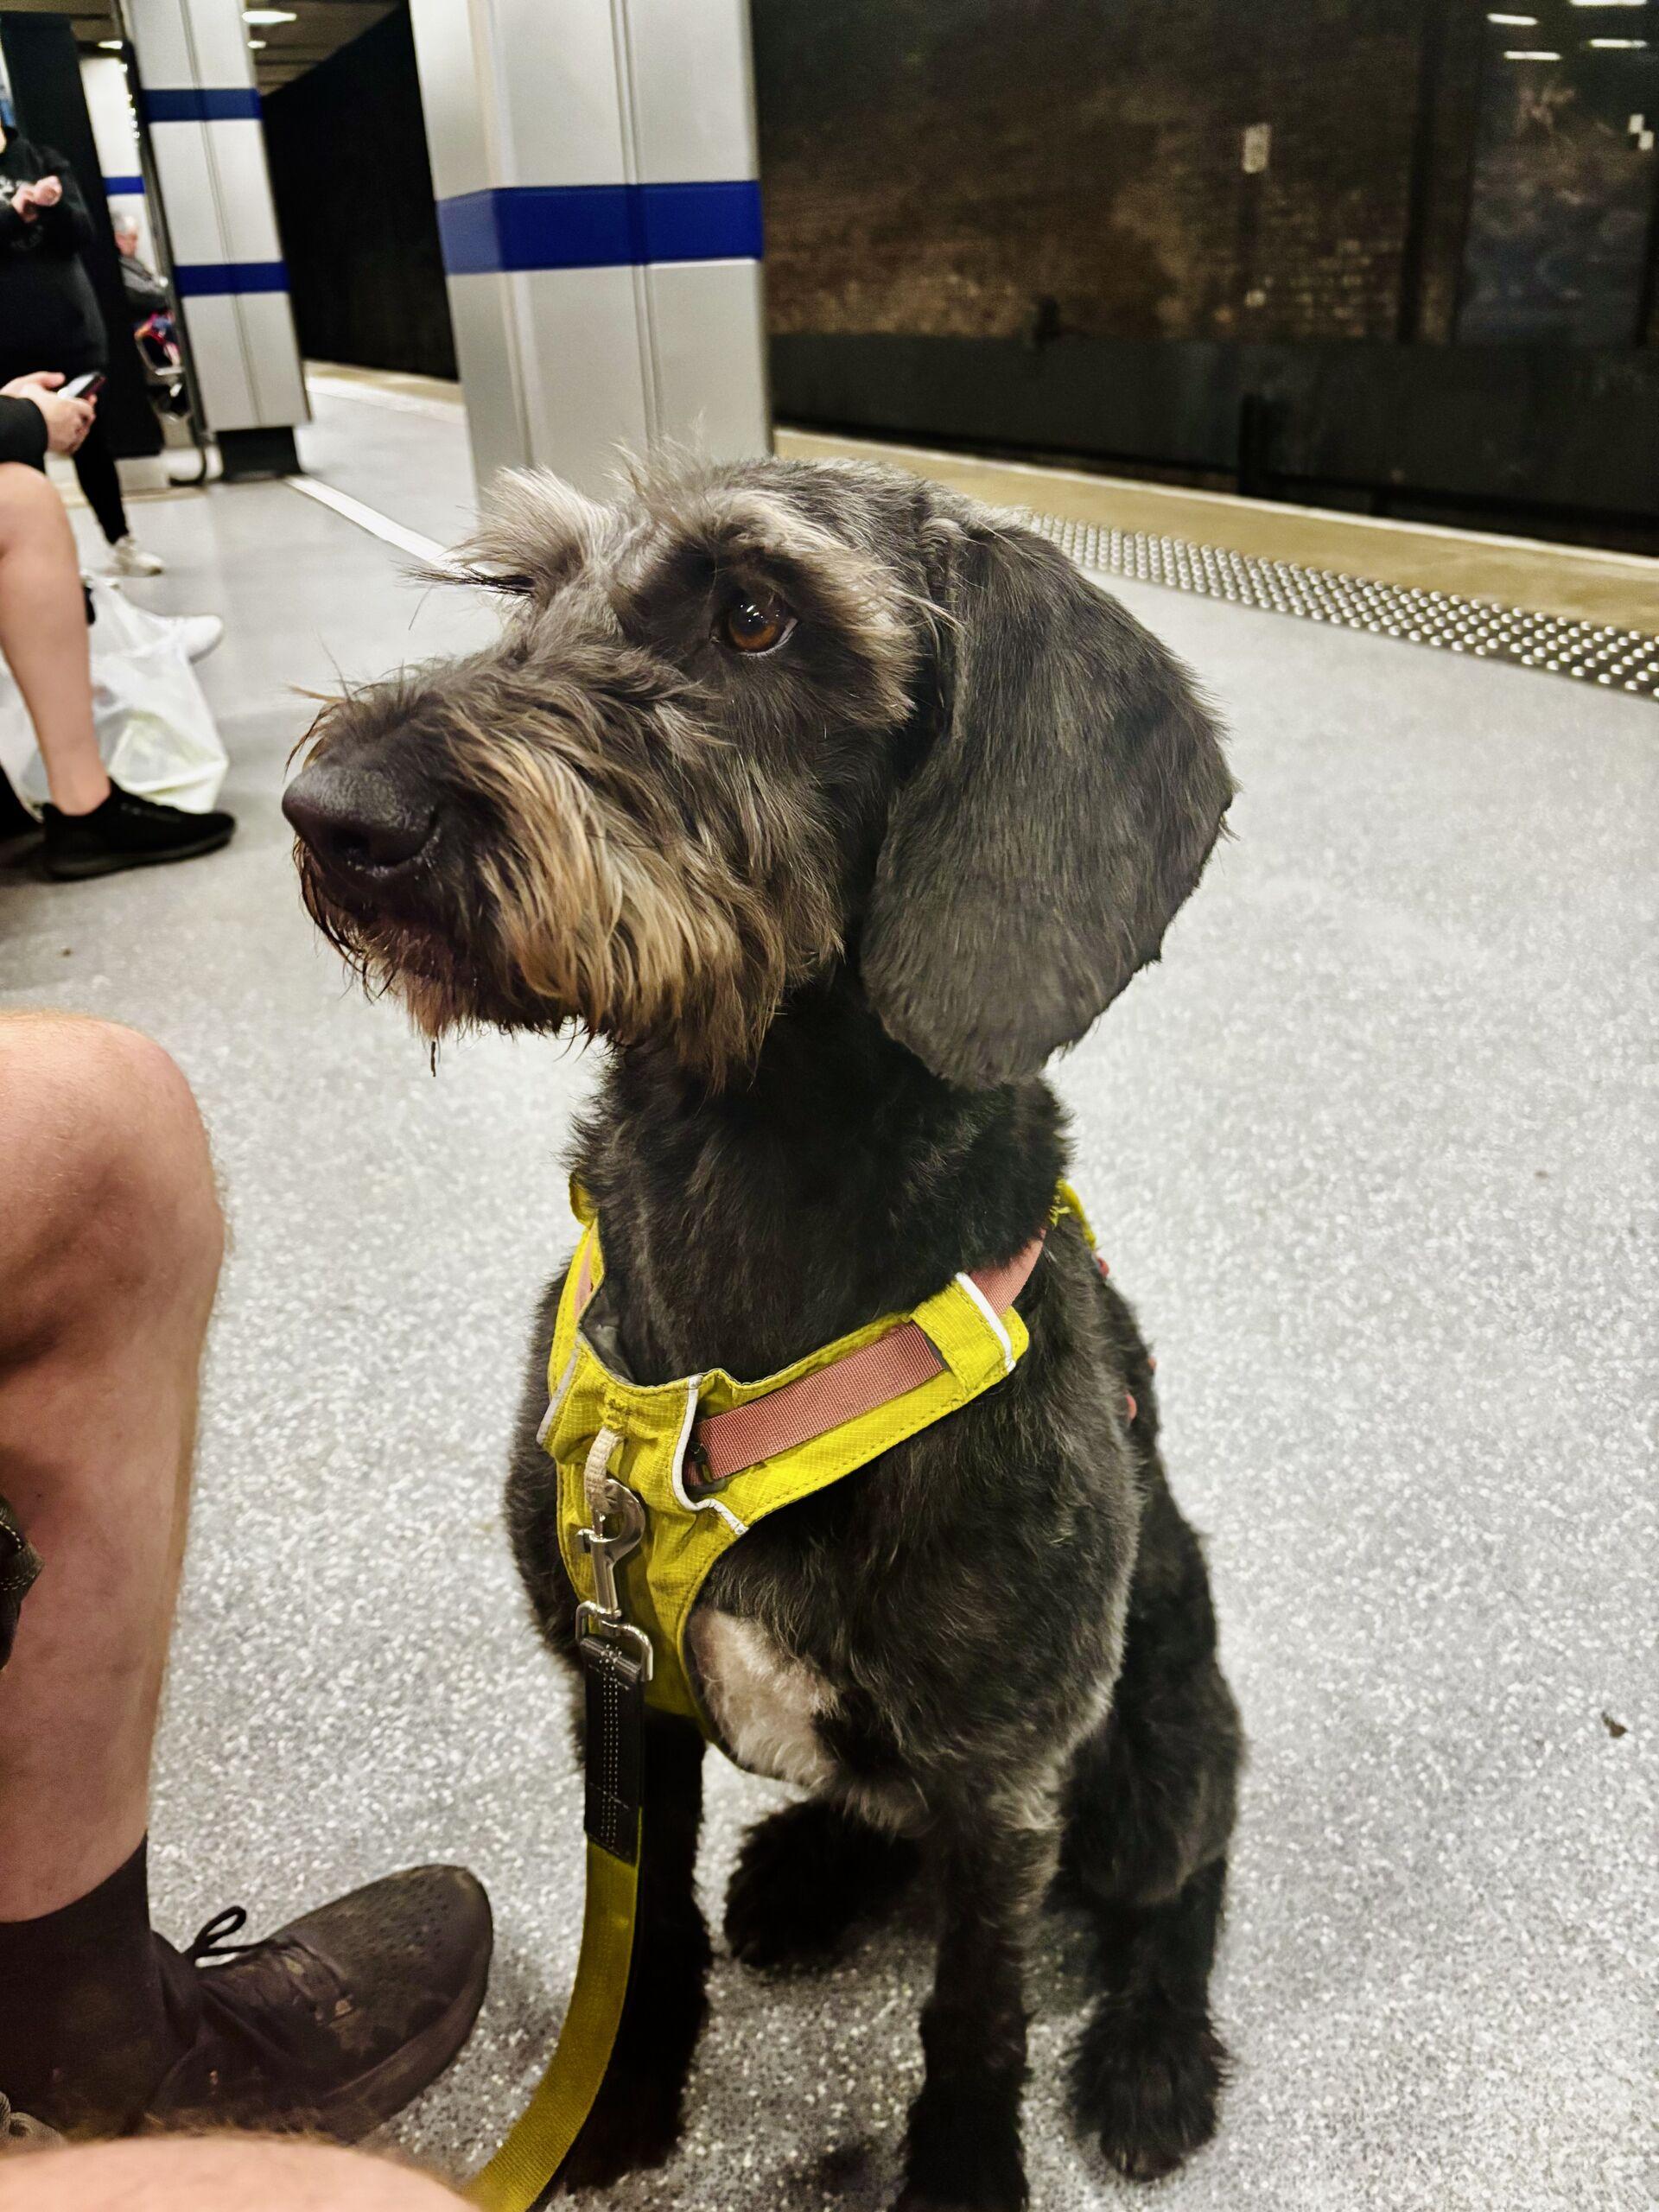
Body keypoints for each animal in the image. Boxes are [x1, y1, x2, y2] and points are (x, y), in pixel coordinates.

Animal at [289, 457, 1247, 2202]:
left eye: (753, 615)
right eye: (528, 593)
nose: (337, 812)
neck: (751, 1167)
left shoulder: (1008, 1774)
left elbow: (978, 2009)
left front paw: (965, 2168)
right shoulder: (618, 1692)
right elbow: (644, 1927)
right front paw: (613, 2099)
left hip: (1162, 1742)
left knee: (1179, 1888)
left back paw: (1152, 2050)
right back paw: (806, 1870)